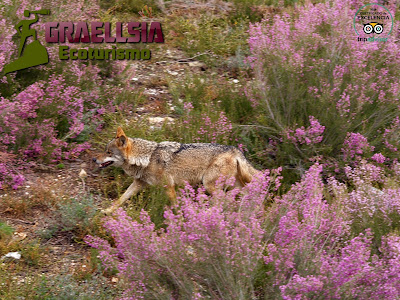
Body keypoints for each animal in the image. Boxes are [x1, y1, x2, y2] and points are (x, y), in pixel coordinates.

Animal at [93, 126, 256, 213]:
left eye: (108, 152)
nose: (94, 160)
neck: (147, 158)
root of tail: (236, 150)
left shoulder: (169, 186)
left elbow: (175, 205)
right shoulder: (138, 183)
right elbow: (121, 198)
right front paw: (107, 211)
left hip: (208, 184)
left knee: (225, 199)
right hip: (233, 185)